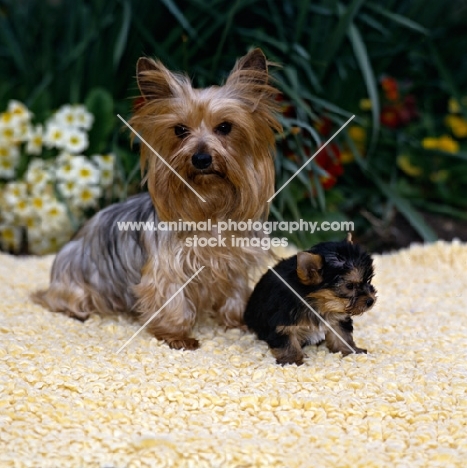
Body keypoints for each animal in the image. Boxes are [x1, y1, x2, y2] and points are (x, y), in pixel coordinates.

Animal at [33, 49, 282, 350]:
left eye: (225, 127)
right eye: (180, 130)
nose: (201, 158)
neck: (209, 204)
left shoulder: (235, 261)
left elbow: (235, 289)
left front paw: (237, 320)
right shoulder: (168, 265)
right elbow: (171, 297)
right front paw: (176, 335)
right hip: (76, 282)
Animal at [243, 234, 378, 366]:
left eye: (368, 280)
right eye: (349, 286)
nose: (370, 300)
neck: (316, 302)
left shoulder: (338, 317)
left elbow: (342, 334)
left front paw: (350, 350)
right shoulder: (282, 320)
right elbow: (287, 341)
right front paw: (292, 360)